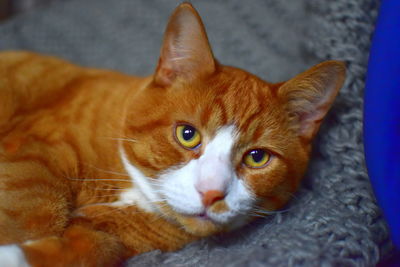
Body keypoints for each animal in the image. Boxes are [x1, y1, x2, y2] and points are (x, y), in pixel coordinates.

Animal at [0, 2, 346, 267]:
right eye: (187, 134)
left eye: (257, 157)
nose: (211, 193)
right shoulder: (37, 149)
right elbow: (33, 207)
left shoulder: (108, 235)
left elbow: (91, 250)